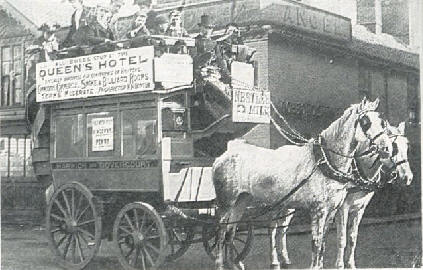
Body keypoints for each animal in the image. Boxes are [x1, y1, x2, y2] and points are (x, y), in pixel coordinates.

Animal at [214, 98, 392, 268]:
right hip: (227, 203)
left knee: (232, 231)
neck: (325, 161)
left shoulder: (332, 211)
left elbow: (324, 244)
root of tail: (225, 154)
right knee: (222, 231)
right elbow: (316, 243)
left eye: (382, 122)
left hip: (243, 201)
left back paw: (236, 263)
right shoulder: (320, 211)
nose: (387, 149)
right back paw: (221, 263)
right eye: (365, 121)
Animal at [276, 122, 416, 268]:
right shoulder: (343, 208)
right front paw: (339, 265)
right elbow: (341, 238)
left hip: (289, 203)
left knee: (282, 227)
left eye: (407, 145)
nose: (407, 177)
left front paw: (350, 264)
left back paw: (284, 258)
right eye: (393, 147)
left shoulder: (360, 208)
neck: (357, 169)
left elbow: (352, 238)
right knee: (275, 227)